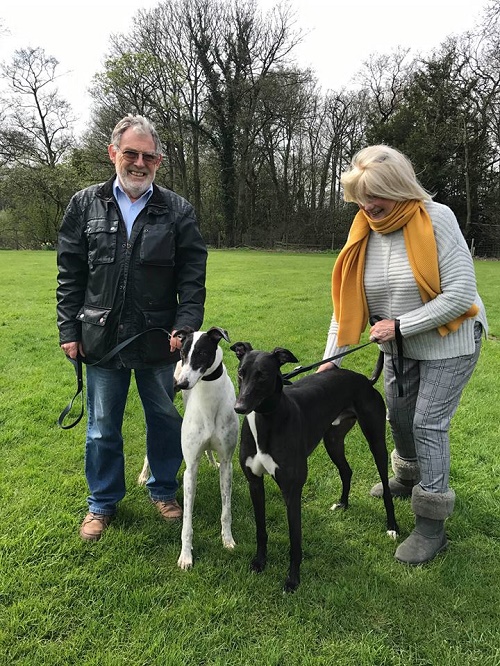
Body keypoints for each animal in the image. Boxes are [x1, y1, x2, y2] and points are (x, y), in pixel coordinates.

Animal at [229, 342, 398, 592]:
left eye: (263, 375)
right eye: (241, 372)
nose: (239, 407)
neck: (267, 420)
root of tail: (365, 380)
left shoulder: (292, 490)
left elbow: (295, 540)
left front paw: (292, 580)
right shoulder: (254, 483)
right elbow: (260, 530)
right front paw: (259, 562)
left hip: (376, 439)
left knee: (386, 486)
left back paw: (392, 526)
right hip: (333, 440)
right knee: (346, 470)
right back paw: (342, 503)